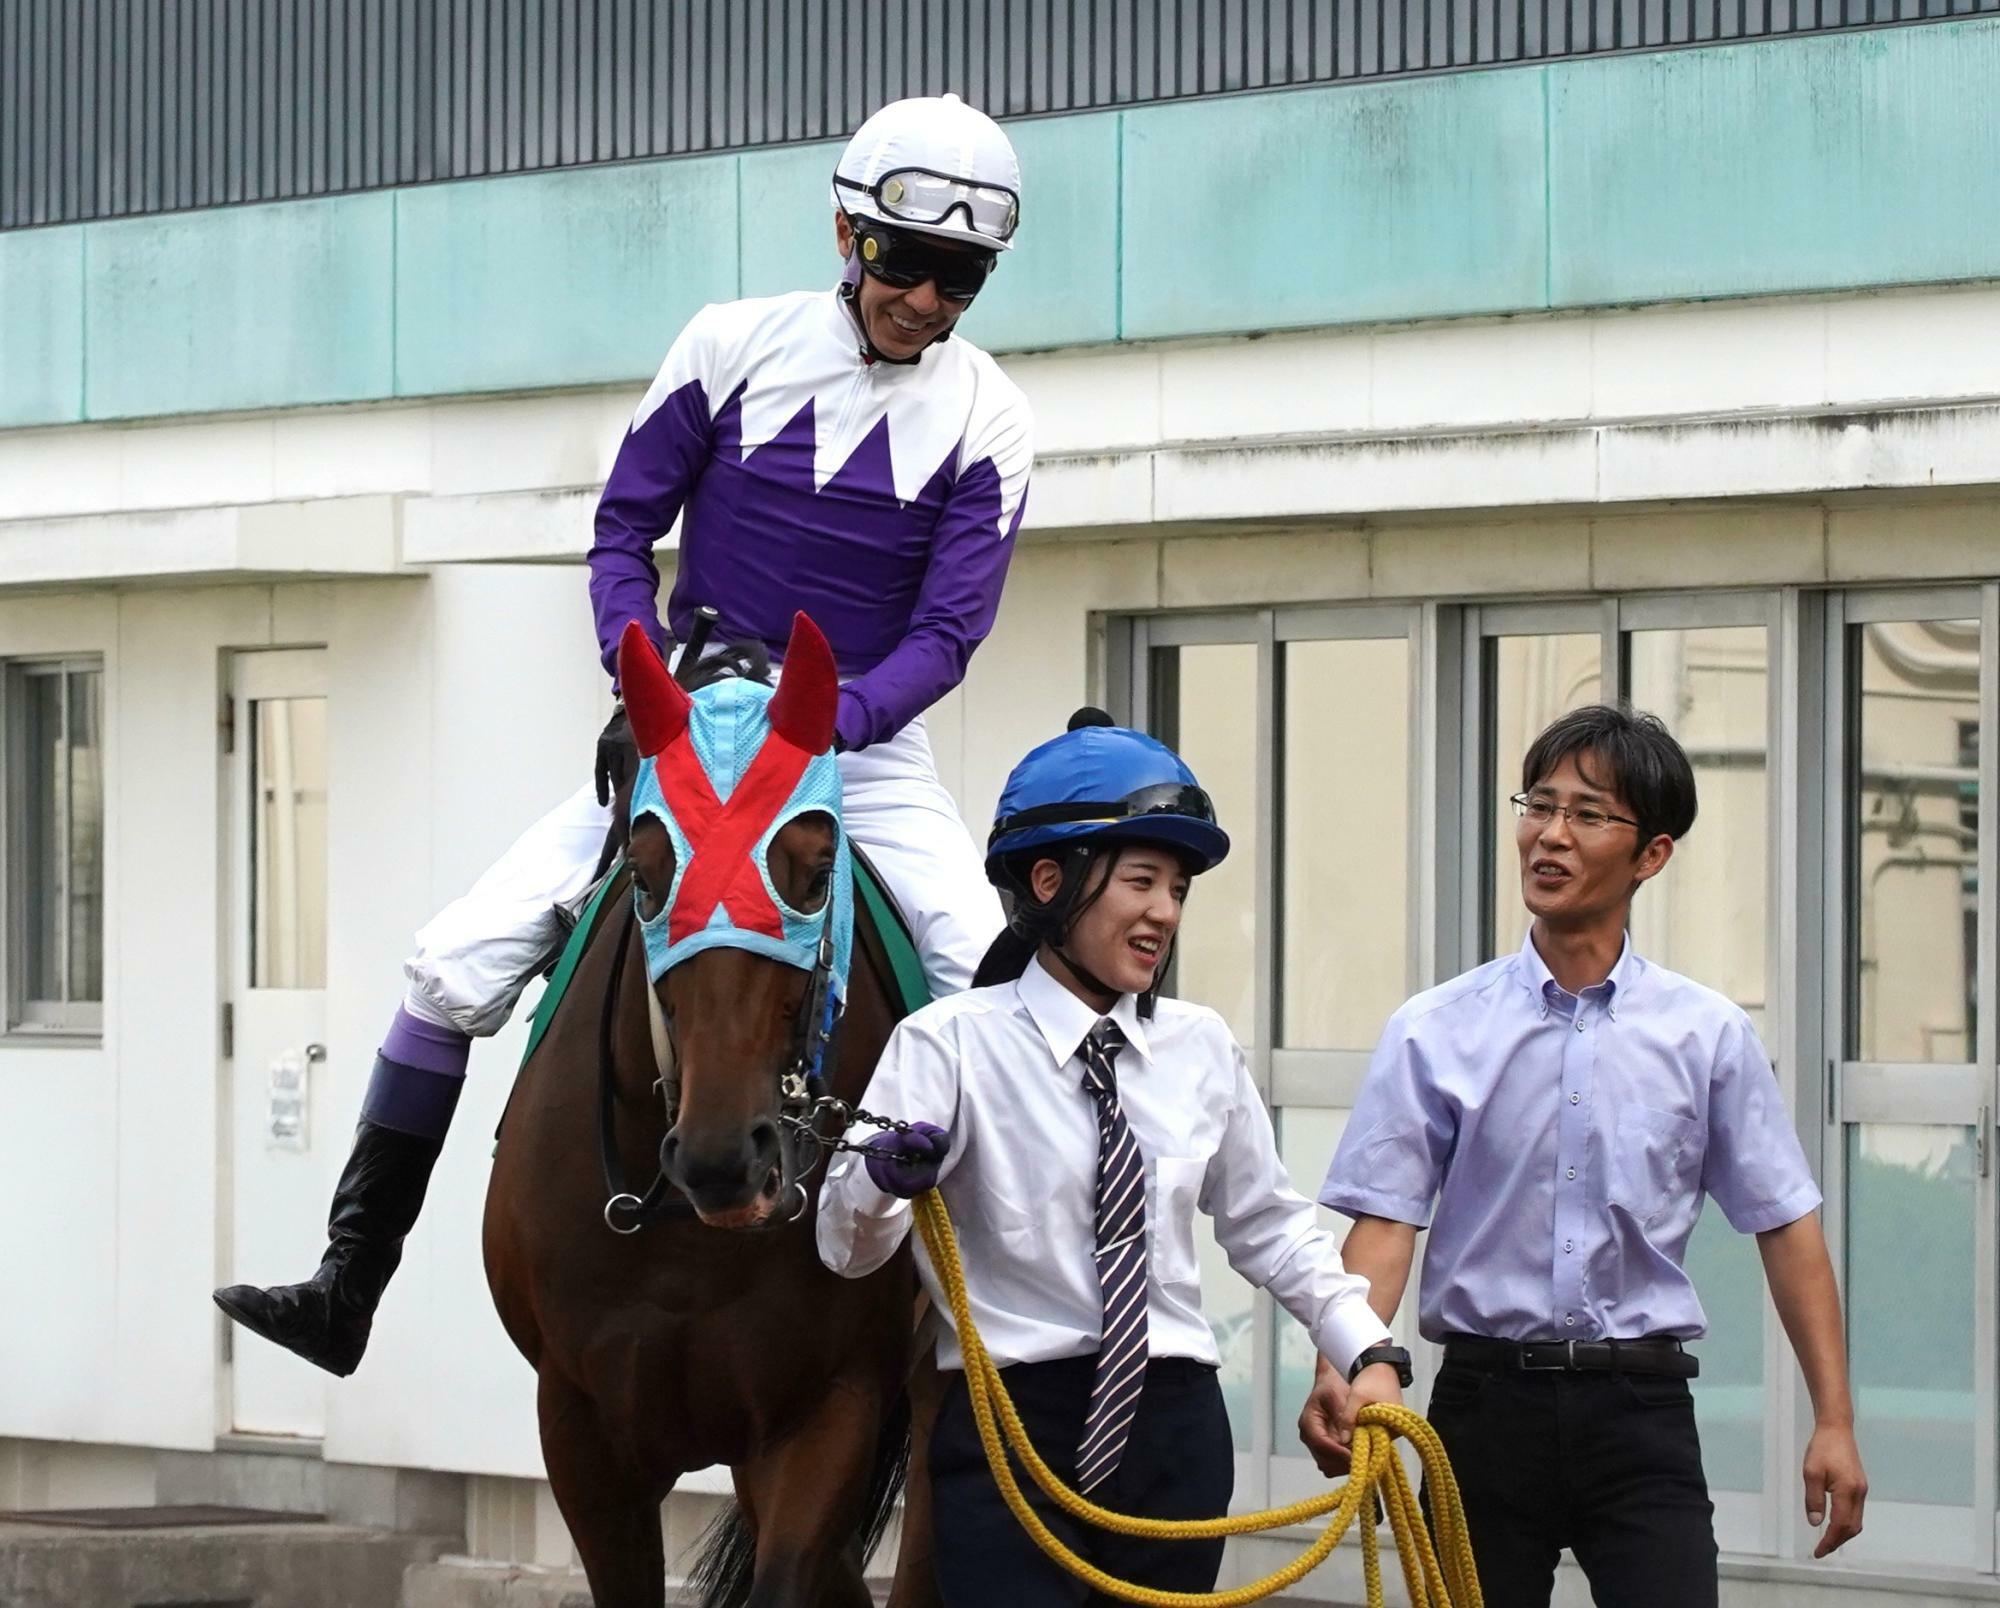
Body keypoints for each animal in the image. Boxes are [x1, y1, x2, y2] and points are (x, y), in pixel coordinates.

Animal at [490, 616, 944, 1608]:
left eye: (814, 872)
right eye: (646, 871)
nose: (725, 1160)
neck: (685, 1239)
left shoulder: (828, 1411)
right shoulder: (581, 1428)